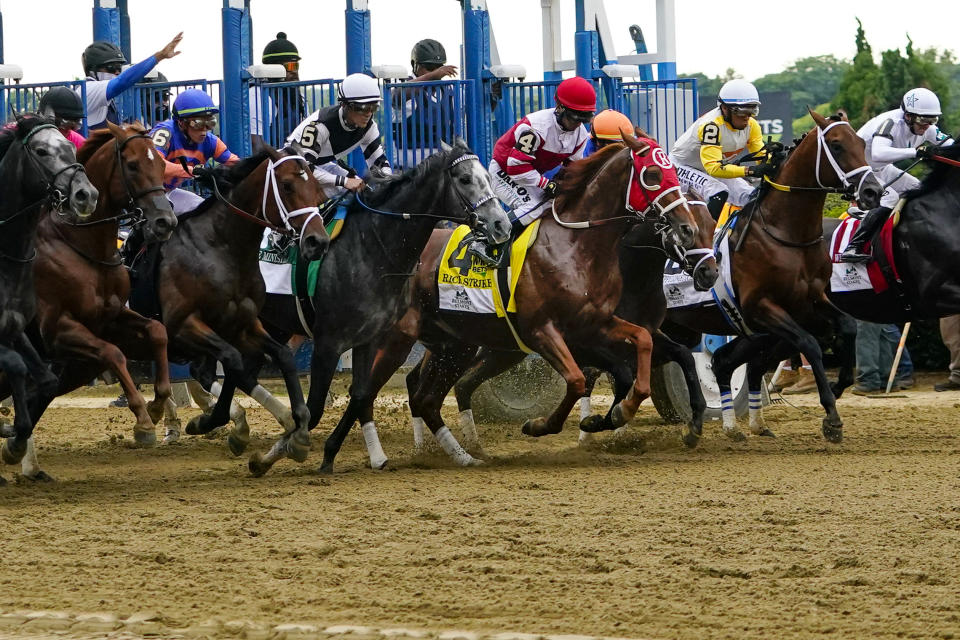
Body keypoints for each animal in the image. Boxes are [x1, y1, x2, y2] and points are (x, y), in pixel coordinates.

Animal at [0, 115, 98, 478]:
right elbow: (17, 366)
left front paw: (15, 441)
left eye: (71, 146)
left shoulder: (15, 329)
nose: (86, 195)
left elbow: (45, 380)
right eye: (41, 151)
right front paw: (12, 436)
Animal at [135, 146, 330, 444]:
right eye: (287, 185)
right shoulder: (182, 325)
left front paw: (297, 417)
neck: (220, 248)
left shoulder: (242, 324)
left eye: (318, 190)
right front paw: (212, 421)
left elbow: (278, 356)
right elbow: (233, 360)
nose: (317, 242)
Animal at [244, 140, 512, 476]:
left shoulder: (367, 338)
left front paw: (330, 455)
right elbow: (314, 407)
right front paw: (277, 453)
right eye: (464, 179)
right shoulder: (329, 342)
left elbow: (359, 394)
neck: (369, 248)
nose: (501, 225)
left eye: (488, 177)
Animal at [288, 132, 700, 472]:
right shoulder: (542, 331)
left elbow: (640, 350)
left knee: (424, 397)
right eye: (652, 175)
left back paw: (460, 455)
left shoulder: (594, 325)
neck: (577, 246)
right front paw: (541, 425)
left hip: (454, 345)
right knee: (369, 394)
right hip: (395, 339)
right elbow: (577, 380)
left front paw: (618, 414)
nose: (686, 228)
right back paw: (364, 455)